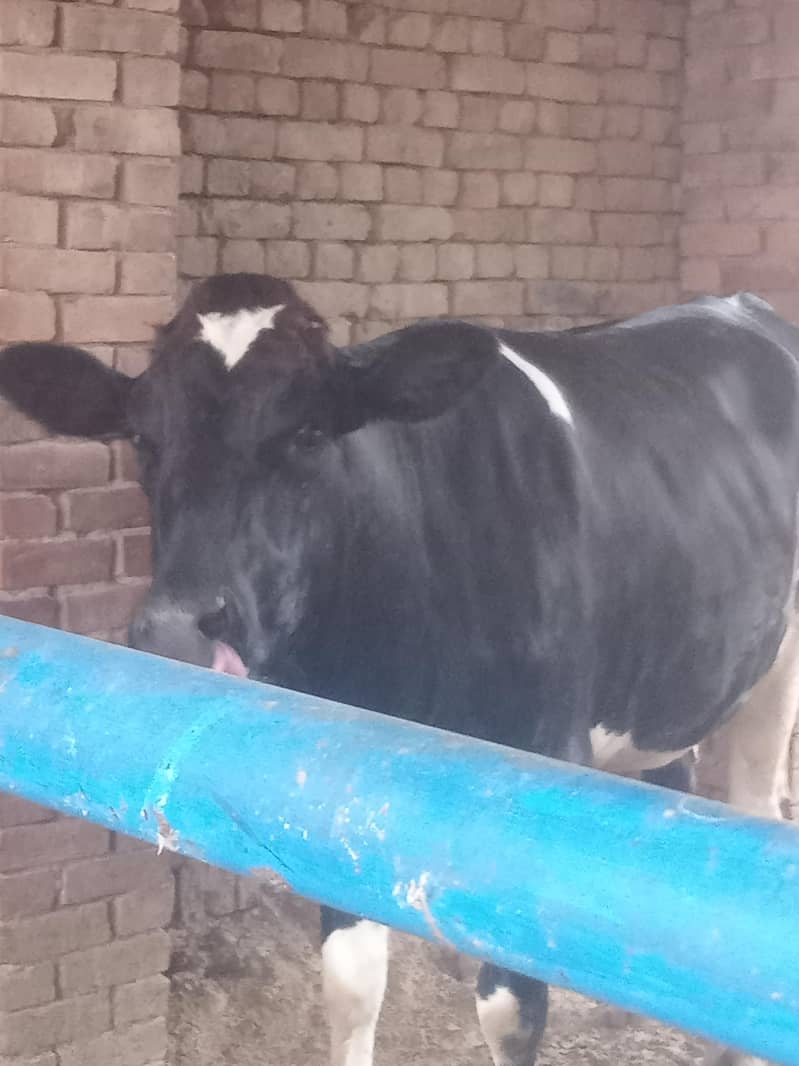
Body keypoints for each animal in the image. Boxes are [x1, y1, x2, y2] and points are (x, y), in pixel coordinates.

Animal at [1, 273, 798, 1066]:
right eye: (142, 436)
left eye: (309, 432)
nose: (174, 634)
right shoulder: (317, 794)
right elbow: (351, 985)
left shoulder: (539, 768)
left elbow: (512, 1010)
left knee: (759, 806)